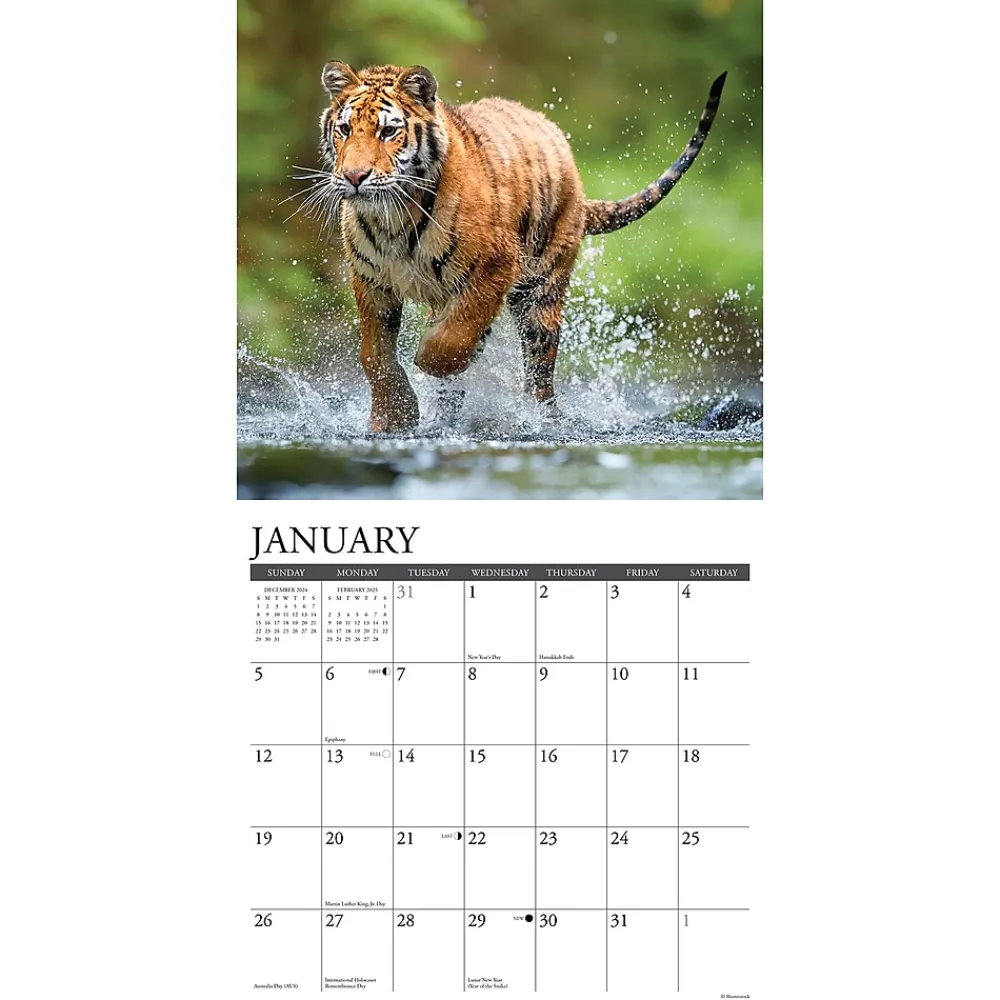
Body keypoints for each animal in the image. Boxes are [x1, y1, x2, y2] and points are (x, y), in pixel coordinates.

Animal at [311, 61, 727, 433]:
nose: (354, 177)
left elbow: (451, 342)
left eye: (387, 132)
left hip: (541, 293)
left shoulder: (494, 267)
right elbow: (374, 355)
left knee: (540, 375)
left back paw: (539, 420)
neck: (393, 217)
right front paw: (392, 418)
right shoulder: (371, 280)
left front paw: (426, 355)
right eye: (344, 129)